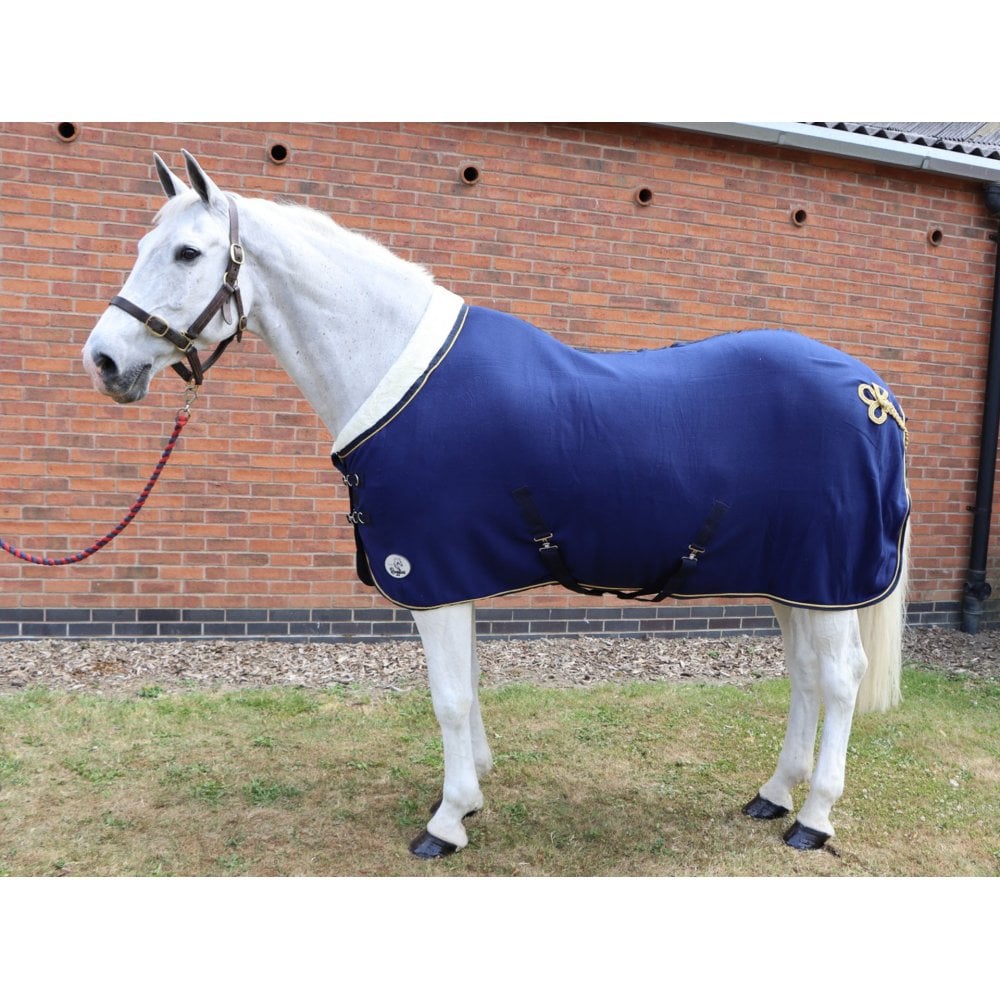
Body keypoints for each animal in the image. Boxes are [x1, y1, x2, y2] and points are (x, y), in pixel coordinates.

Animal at [83, 151, 911, 859]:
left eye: (187, 254)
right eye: (144, 243)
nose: (104, 360)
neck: (394, 372)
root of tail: (874, 396)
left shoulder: (432, 574)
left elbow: (449, 696)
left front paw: (447, 822)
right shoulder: (457, 573)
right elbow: (471, 687)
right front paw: (471, 789)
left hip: (827, 578)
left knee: (839, 679)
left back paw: (813, 817)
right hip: (795, 581)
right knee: (805, 676)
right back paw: (774, 793)